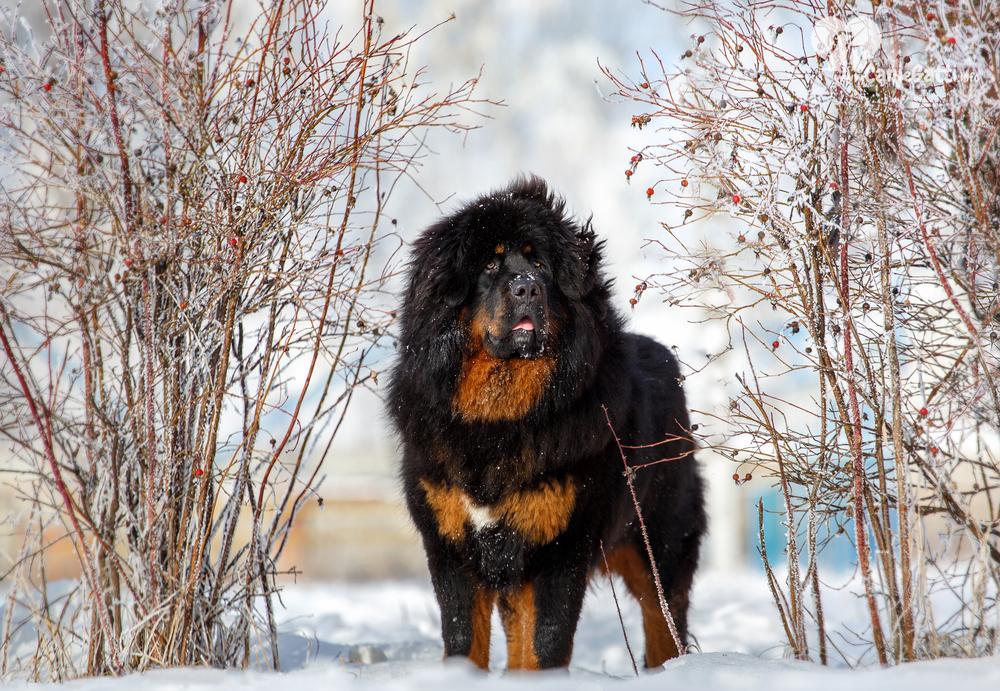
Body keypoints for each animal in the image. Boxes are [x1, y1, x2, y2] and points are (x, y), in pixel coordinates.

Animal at [386, 177, 708, 672]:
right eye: (490, 264)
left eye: (539, 264)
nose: (526, 288)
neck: (499, 419)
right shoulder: (451, 545)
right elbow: (465, 640)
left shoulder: (560, 547)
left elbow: (546, 643)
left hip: (659, 544)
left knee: (664, 624)